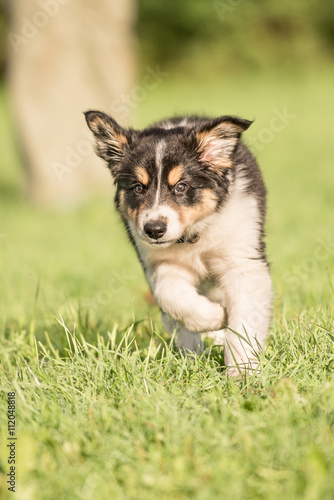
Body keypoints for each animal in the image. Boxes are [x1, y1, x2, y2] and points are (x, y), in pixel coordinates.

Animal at [85, 110, 272, 376]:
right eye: (138, 188)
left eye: (181, 187)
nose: (154, 230)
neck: (193, 236)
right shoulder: (160, 263)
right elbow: (171, 296)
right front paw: (214, 318)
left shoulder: (243, 262)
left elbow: (244, 322)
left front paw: (242, 372)